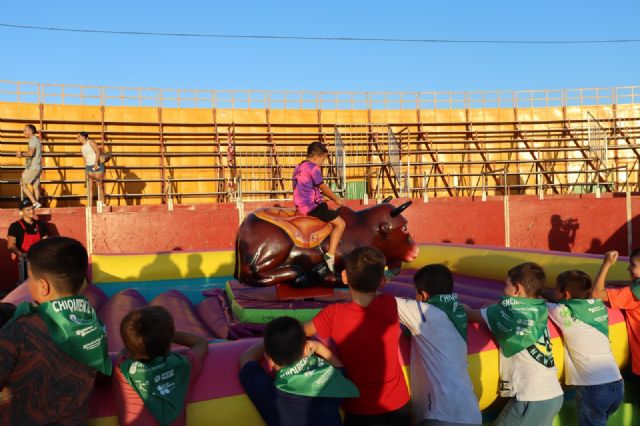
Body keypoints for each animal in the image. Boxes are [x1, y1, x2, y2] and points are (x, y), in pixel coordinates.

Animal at [235, 199, 420, 286]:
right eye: (404, 228)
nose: (416, 250)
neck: (366, 229)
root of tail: (244, 224)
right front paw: (319, 272)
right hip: (277, 246)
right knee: (253, 272)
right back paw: (299, 274)